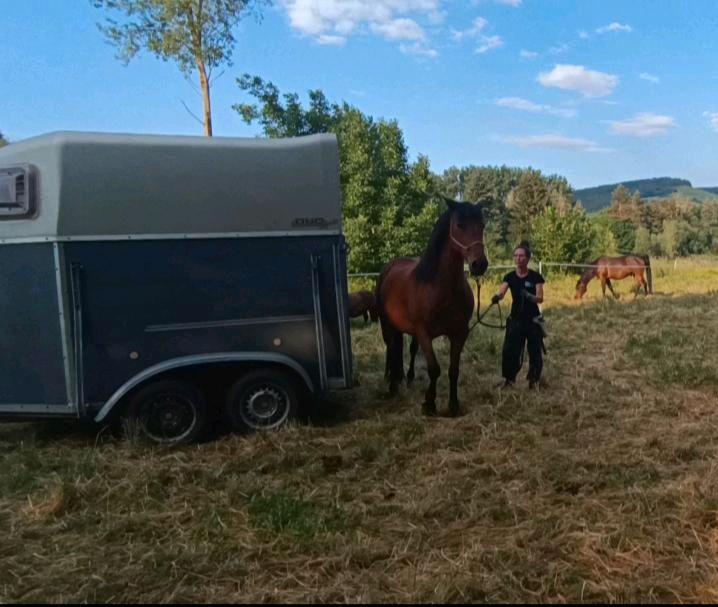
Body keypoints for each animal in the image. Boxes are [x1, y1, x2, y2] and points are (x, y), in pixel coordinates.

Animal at [376, 200, 490, 418]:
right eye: (459, 225)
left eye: (482, 226)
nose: (479, 264)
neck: (439, 286)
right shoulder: (423, 332)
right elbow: (434, 368)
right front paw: (429, 404)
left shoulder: (459, 333)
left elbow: (454, 370)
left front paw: (453, 405)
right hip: (387, 325)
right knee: (392, 348)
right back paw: (393, 386)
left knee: (406, 350)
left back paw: (405, 378)